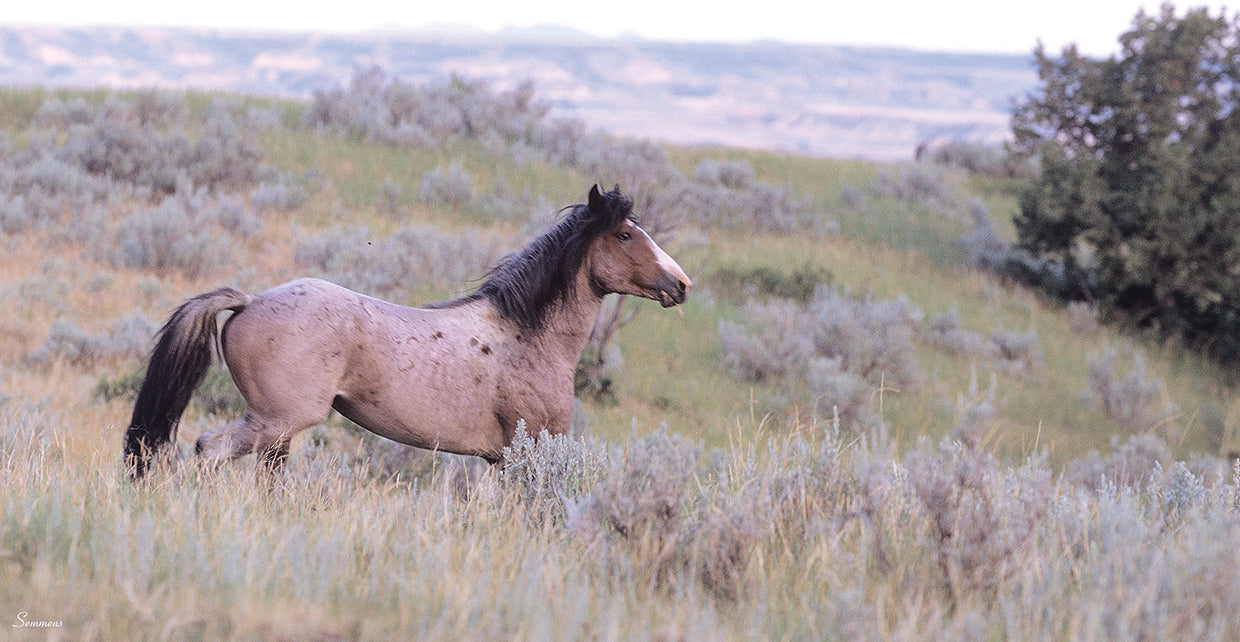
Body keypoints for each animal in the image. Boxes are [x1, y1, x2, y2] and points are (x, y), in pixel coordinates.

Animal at [122, 185, 691, 479]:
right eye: (625, 235)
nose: (681, 284)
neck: (527, 337)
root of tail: (249, 302)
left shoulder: (494, 460)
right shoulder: (522, 453)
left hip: (278, 432)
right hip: (275, 420)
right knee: (208, 451)